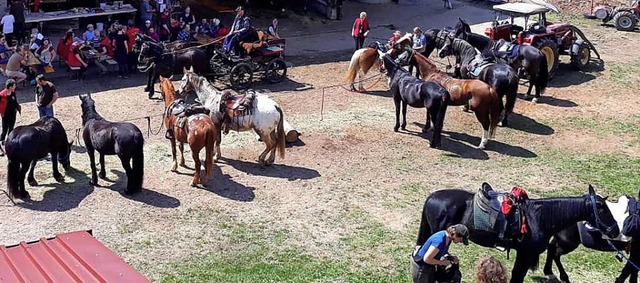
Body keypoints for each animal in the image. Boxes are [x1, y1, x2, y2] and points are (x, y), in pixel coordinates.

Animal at [418, 184, 624, 283]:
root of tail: (432, 197)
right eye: (602, 208)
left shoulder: (523, 255)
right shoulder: (525, 254)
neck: (538, 217)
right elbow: (517, 277)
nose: (615, 229)